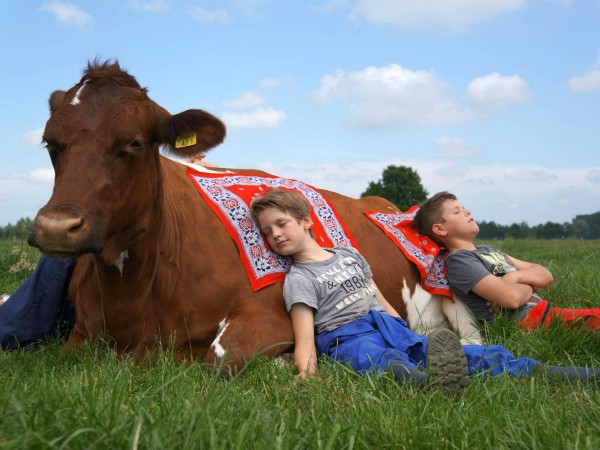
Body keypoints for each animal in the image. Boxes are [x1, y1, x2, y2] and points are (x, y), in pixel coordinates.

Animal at [28, 59, 478, 370]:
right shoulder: (79, 335)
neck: (134, 304)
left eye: (135, 143)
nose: (57, 228)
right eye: (51, 144)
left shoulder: (269, 315)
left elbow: (219, 357)